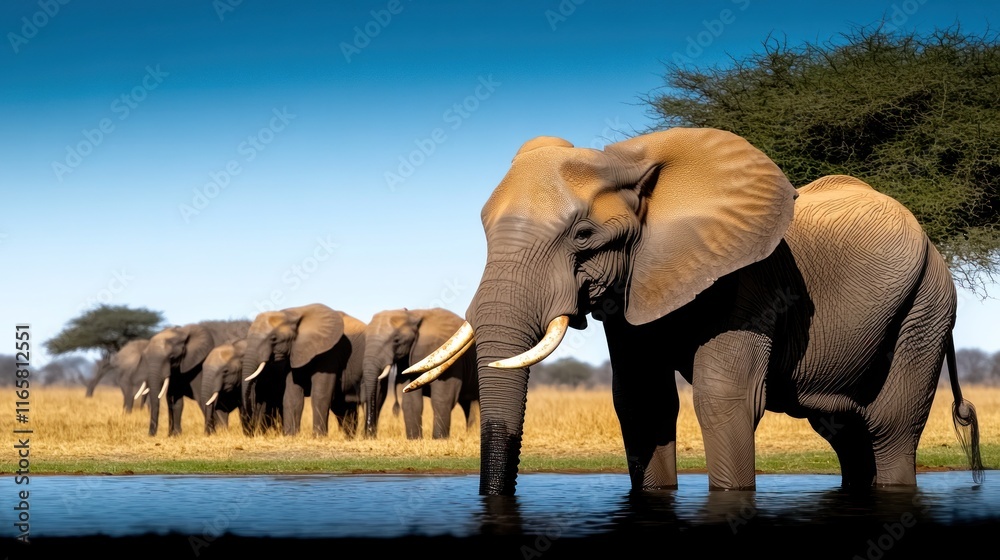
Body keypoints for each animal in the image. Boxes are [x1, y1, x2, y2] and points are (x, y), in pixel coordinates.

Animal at [241, 303, 366, 437]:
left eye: (273, 339)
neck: (293, 314)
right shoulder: (295, 352)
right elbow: (292, 396)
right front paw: (290, 436)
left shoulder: (329, 351)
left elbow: (320, 395)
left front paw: (318, 437)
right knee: (343, 407)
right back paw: (349, 437)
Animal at [360, 307, 479, 439]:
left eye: (397, 340)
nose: (369, 432)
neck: (413, 315)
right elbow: (411, 401)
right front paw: (414, 439)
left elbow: (442, 399)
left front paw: (439, 439)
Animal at [404, 127, 984, 496]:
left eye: (583, 235)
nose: (495, 499)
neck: (631, 163)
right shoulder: (635, 282)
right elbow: (642, 401)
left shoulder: (751, 277)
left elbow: (724, 397)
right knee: (843, 430)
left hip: (926, 307)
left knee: (890, 425)